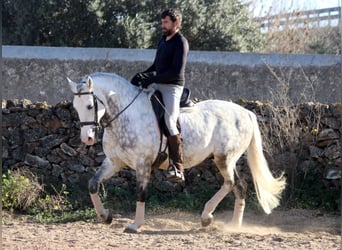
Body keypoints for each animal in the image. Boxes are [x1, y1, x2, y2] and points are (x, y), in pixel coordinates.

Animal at [67, 72, 286, 232]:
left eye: (90, 105)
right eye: (75, 107)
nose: (87, 138)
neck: (125, 115)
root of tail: (245, 112)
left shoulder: (143, 164)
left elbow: (141, 193)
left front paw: (136, 225)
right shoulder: (114, 162)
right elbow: (93, 184)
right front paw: (105, 216)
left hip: (224, 158)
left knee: (230, 183)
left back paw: (207, 217)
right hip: (226, 159)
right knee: (240, 185)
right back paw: (234, 225)